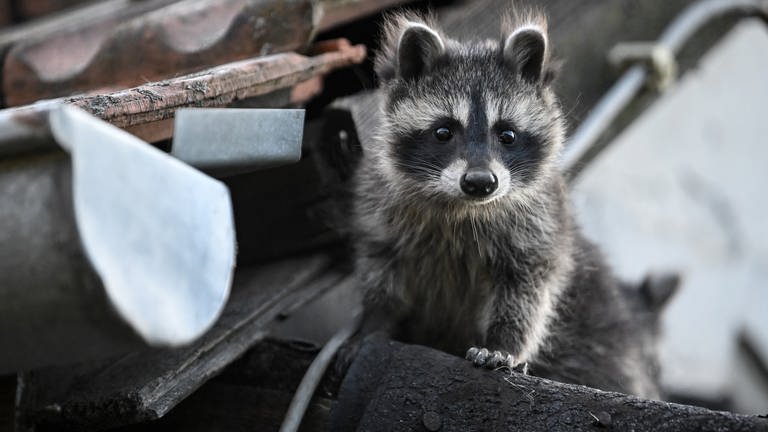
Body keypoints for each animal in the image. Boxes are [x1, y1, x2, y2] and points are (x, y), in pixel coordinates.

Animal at [352, 9, 660, 398]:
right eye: (443, 132)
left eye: (507, 134)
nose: (480, 183)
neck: (464, 208)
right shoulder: (381, 209)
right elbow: (382, 270)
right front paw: (375, 321)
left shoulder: (542, 224)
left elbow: (526, 289)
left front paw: (504, 343)